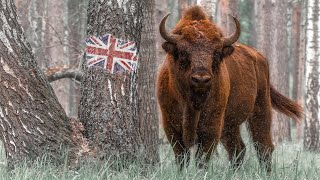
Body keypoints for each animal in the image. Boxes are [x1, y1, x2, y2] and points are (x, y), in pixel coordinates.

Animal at [157, 5, 302, 172]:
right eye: (182, 52)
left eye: (216, 53)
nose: (201, 79)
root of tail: (259, 56)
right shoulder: (170, 124)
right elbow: (182, 155)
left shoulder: (212, 123)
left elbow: (202, 156)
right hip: (230, 124)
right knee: (238, 148)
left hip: (260, 109)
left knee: (263, 146)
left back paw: (266, 172)